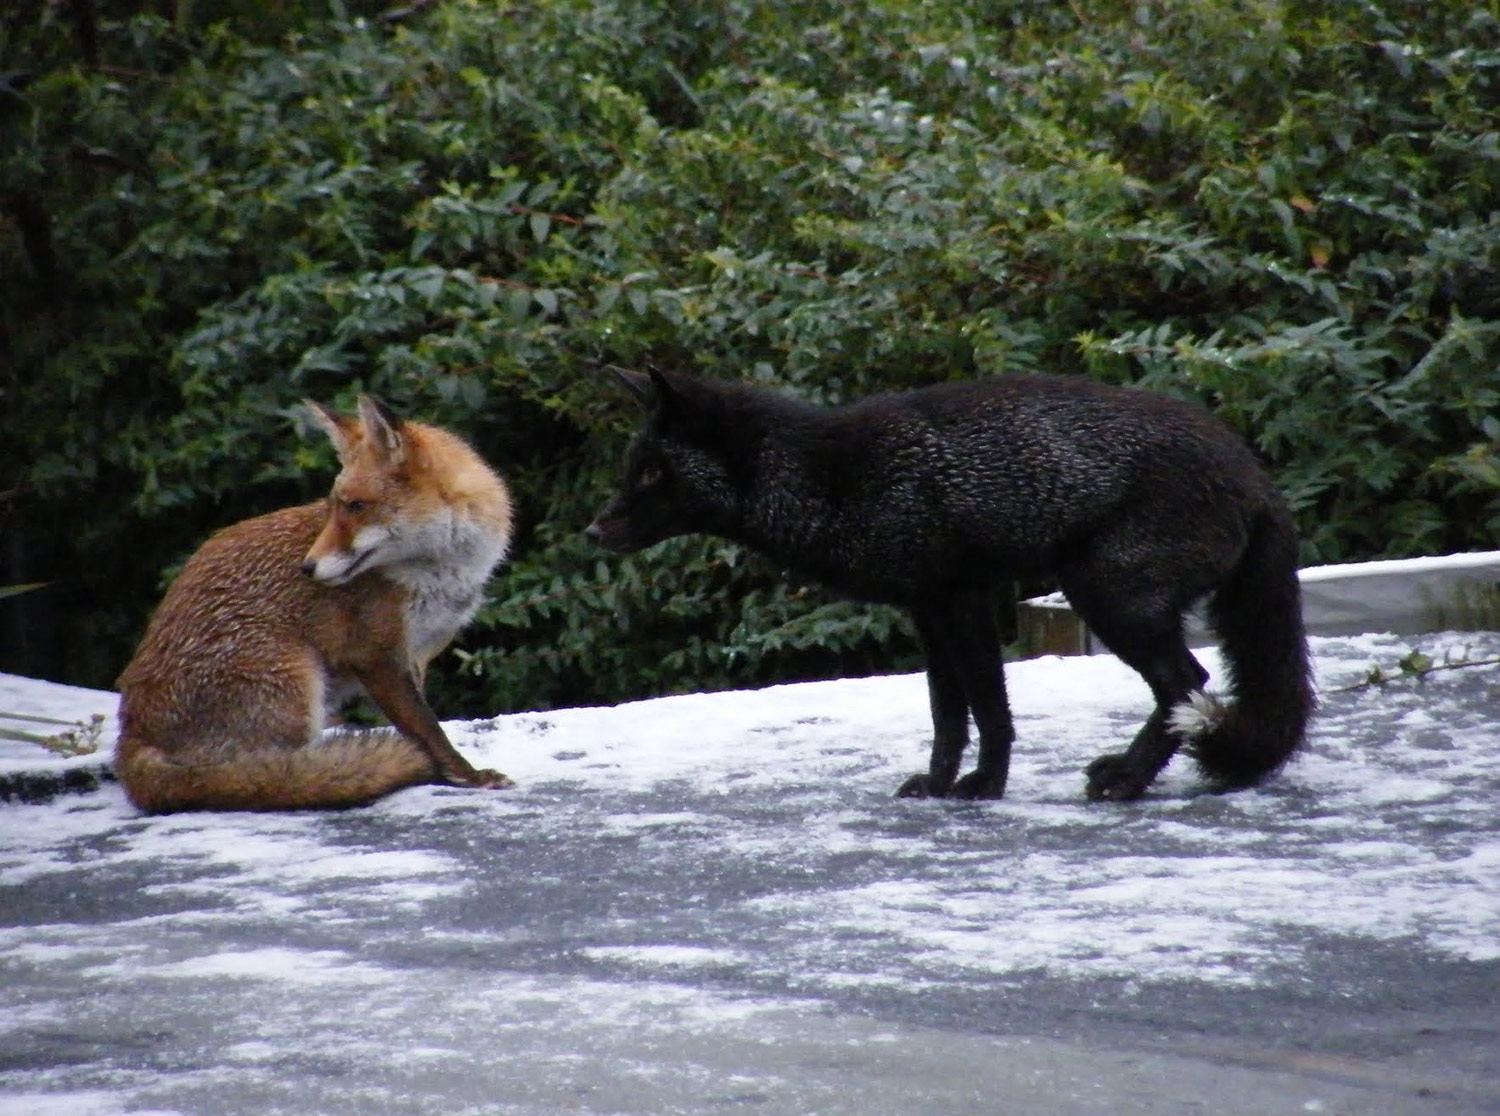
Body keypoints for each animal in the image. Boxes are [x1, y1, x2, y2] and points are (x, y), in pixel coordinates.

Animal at [117, 399, 519, 810]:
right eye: (334, 507)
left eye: (356, 506)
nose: (307, 568)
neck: (441, 574)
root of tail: (132, 736)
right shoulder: (374, 655)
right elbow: (427, 730)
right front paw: (467, 775)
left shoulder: (417, 655)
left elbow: (422, 721)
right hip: (298, 682)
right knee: (266, 774)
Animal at [585, 369, 1314, 804]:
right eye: (629, 470)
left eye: (650, 474)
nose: (593, 531)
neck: (829, 480)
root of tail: (1254, 475)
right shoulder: (928, 609)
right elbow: (947, 714)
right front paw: (939, 783)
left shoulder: (964, 598)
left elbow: (990, 710)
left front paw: (985, 786)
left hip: (1108, 599)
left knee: (1187, 681)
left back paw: (1128, 781)